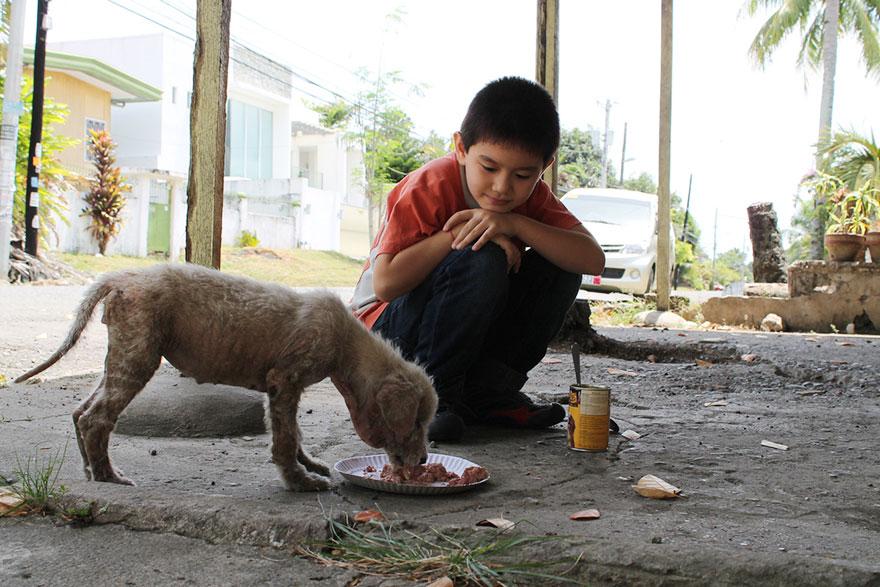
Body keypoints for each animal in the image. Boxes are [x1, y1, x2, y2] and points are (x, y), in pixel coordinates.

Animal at [17, 266, 436, 492]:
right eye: (416, 422)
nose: (423, 459)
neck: (346, 343)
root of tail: (120, 277)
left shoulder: (281, 390)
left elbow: (294, 433)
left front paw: (309, 464)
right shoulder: (285, 381)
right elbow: (285, 440)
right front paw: (299, 481)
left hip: (121, 357)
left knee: (80, 412)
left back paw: (90, 470)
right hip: (137, 356)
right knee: (96, 418)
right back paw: (108, 476)